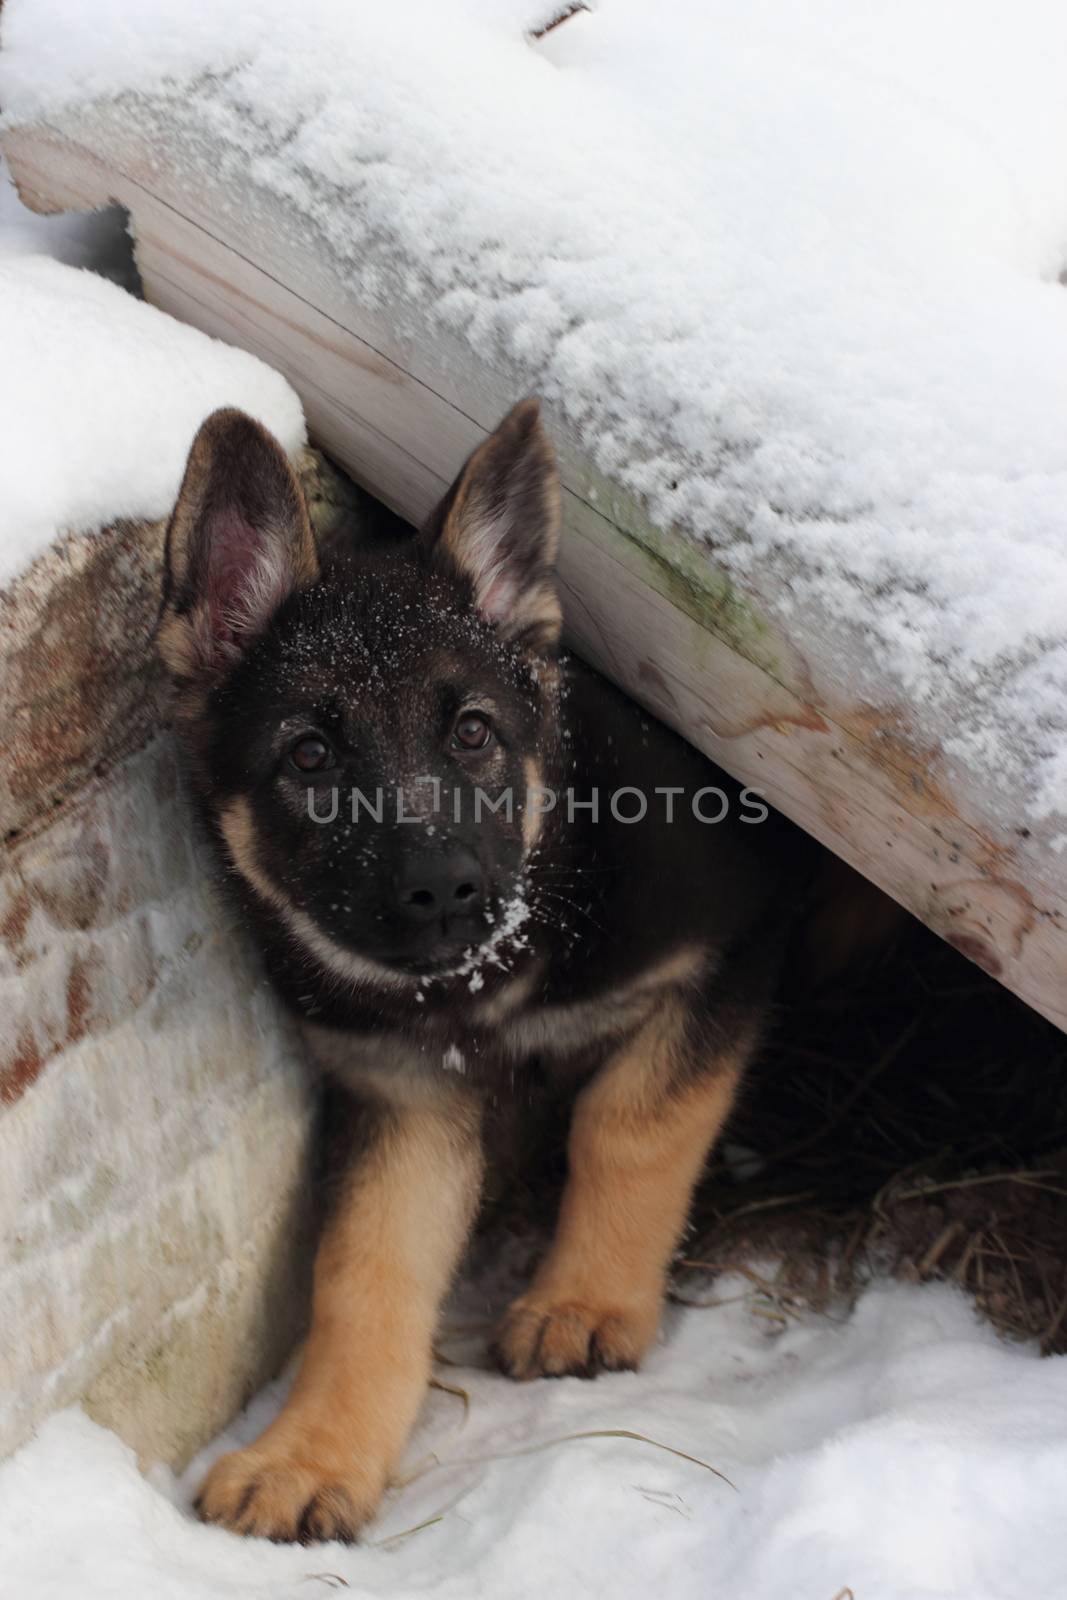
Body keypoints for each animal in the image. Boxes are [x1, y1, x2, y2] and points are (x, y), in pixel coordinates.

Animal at [156, 393, 809, 1542]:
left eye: (470, 734)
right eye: (309, 757)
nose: (444, 893)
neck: (493, 983)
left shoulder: (732, 946)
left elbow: (630, 1125)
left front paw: (583, 1302)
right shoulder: (406, 1092)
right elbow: (365, 1270)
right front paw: (311, 1454)